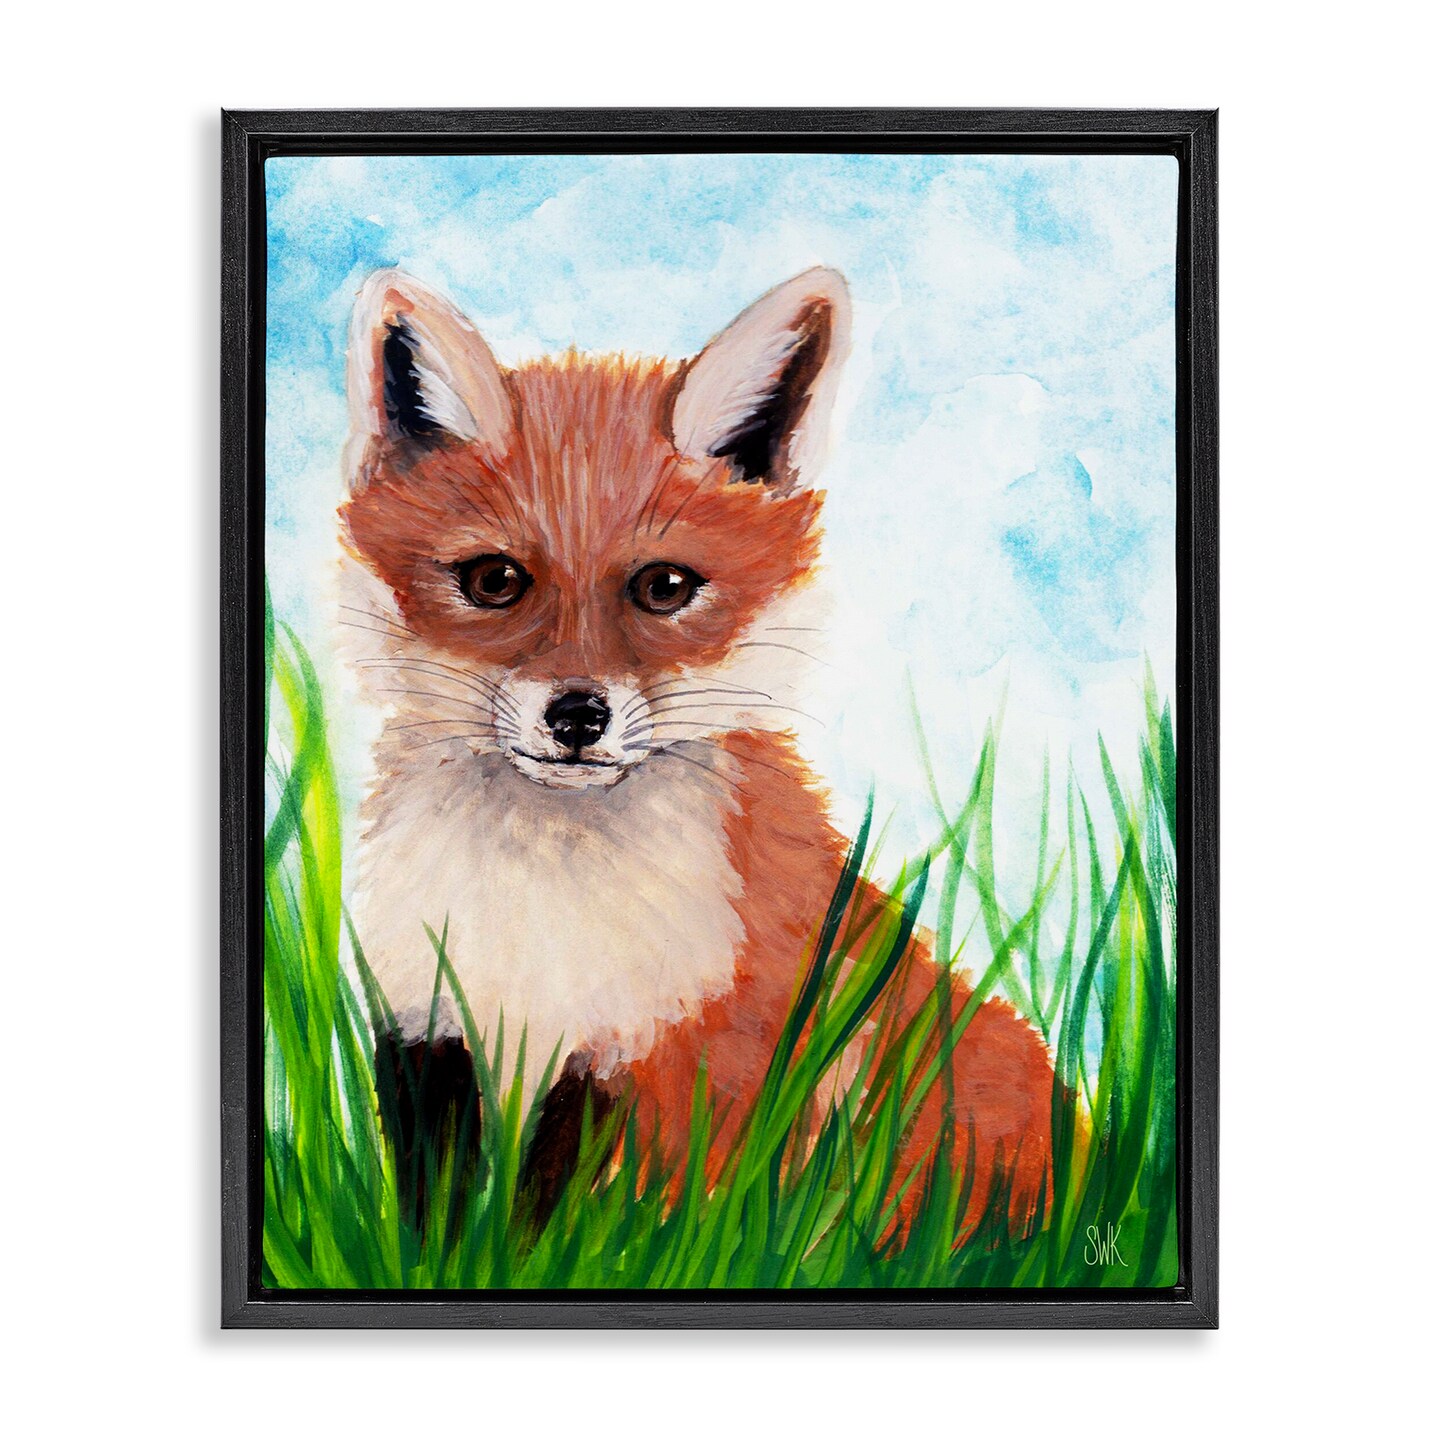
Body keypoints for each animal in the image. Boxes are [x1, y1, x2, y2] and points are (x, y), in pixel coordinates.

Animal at [337, 264, 1056, 1231]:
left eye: (665, 586)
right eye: (494, 581)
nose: (577, 716)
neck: (548, 911)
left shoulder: (675, 1056)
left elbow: (595, 1223)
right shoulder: (430, 1032)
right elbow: (448, 1225)